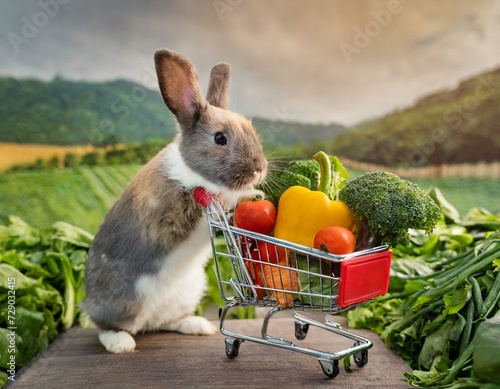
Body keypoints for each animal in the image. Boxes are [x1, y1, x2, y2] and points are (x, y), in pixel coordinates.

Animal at [82, 50, 270, 354]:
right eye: (220, 138)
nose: (259, 169)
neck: (192, 170)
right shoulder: (172, 213)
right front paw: (250, 195)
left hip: (187, 292)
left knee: (166, 321)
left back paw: (198, 326)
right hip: (124, 302)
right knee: (105, 326)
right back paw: (121, 343)